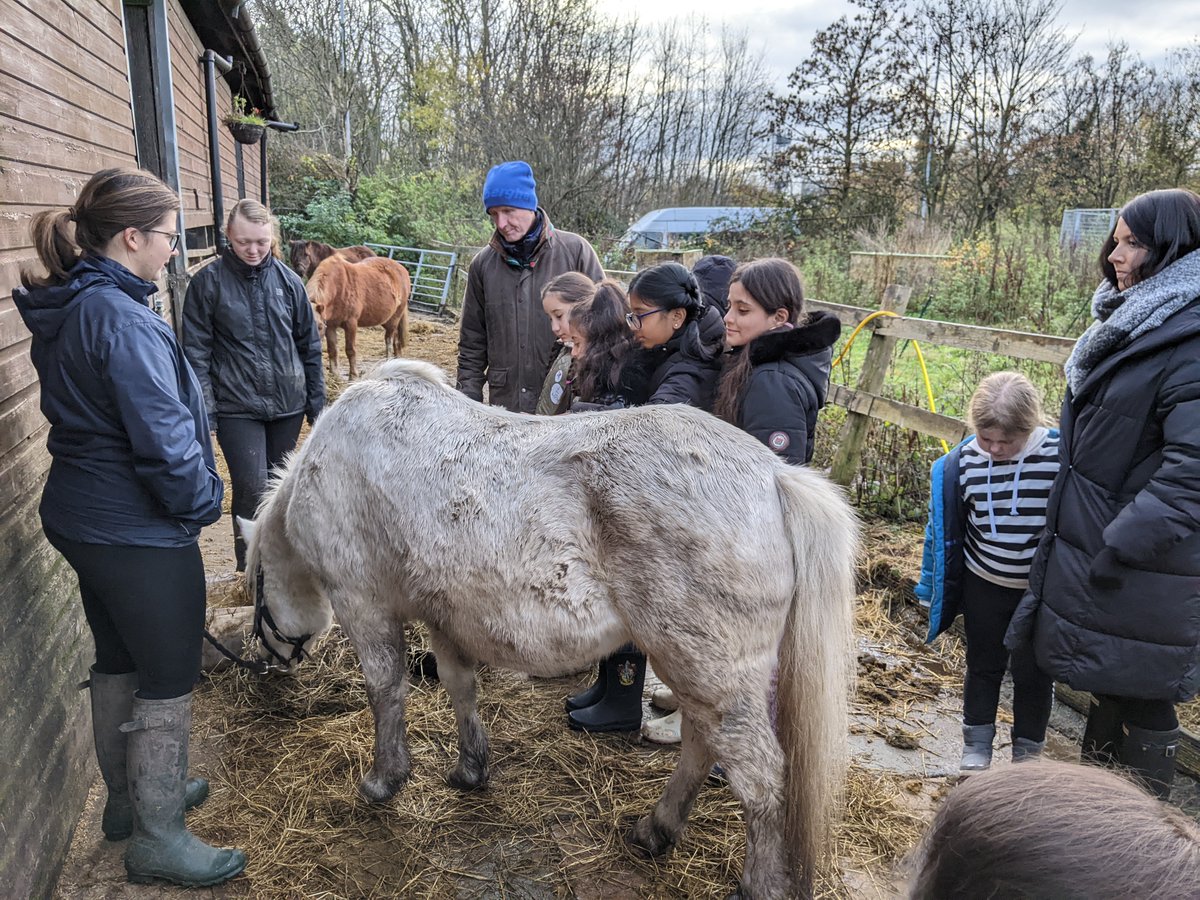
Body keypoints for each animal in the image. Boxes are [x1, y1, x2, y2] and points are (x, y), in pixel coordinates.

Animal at [241, 359, 858, 900]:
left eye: (256, 592)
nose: (268, 664)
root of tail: (775, 475)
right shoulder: (445, 619)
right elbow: (460, 689)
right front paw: (470, 769)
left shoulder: (364, 606)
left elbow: (385, 691)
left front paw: (384, 780)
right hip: (695, 668)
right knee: (703, 745)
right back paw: (656, 829)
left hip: (708, 671)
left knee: (759, 779)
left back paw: (751, 882)